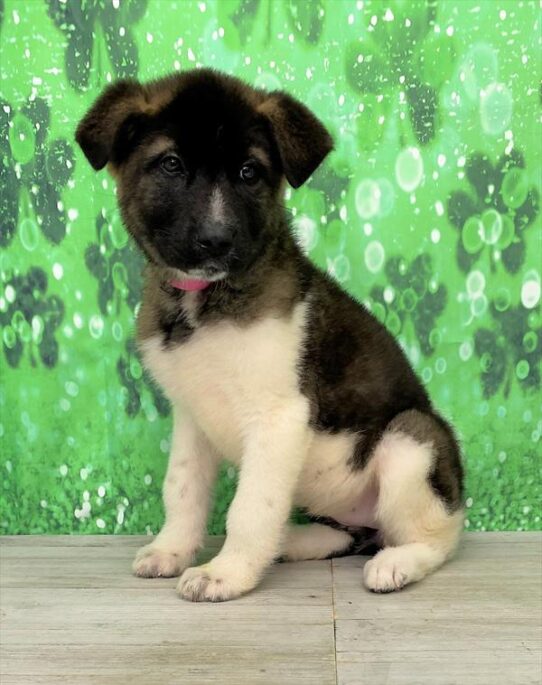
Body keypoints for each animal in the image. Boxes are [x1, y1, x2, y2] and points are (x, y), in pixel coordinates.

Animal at [77, 69, 468, 600]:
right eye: (171, 165)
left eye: (249, 172)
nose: (216, 241)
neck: (205, 301)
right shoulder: (191, 417)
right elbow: (182, 489)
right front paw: (172, 550)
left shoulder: (278, 417)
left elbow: (249, 508)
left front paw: (226, 572)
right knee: (351, 533)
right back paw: (294, 540)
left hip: (412, 441)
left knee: (436, 536)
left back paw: (397, 563)